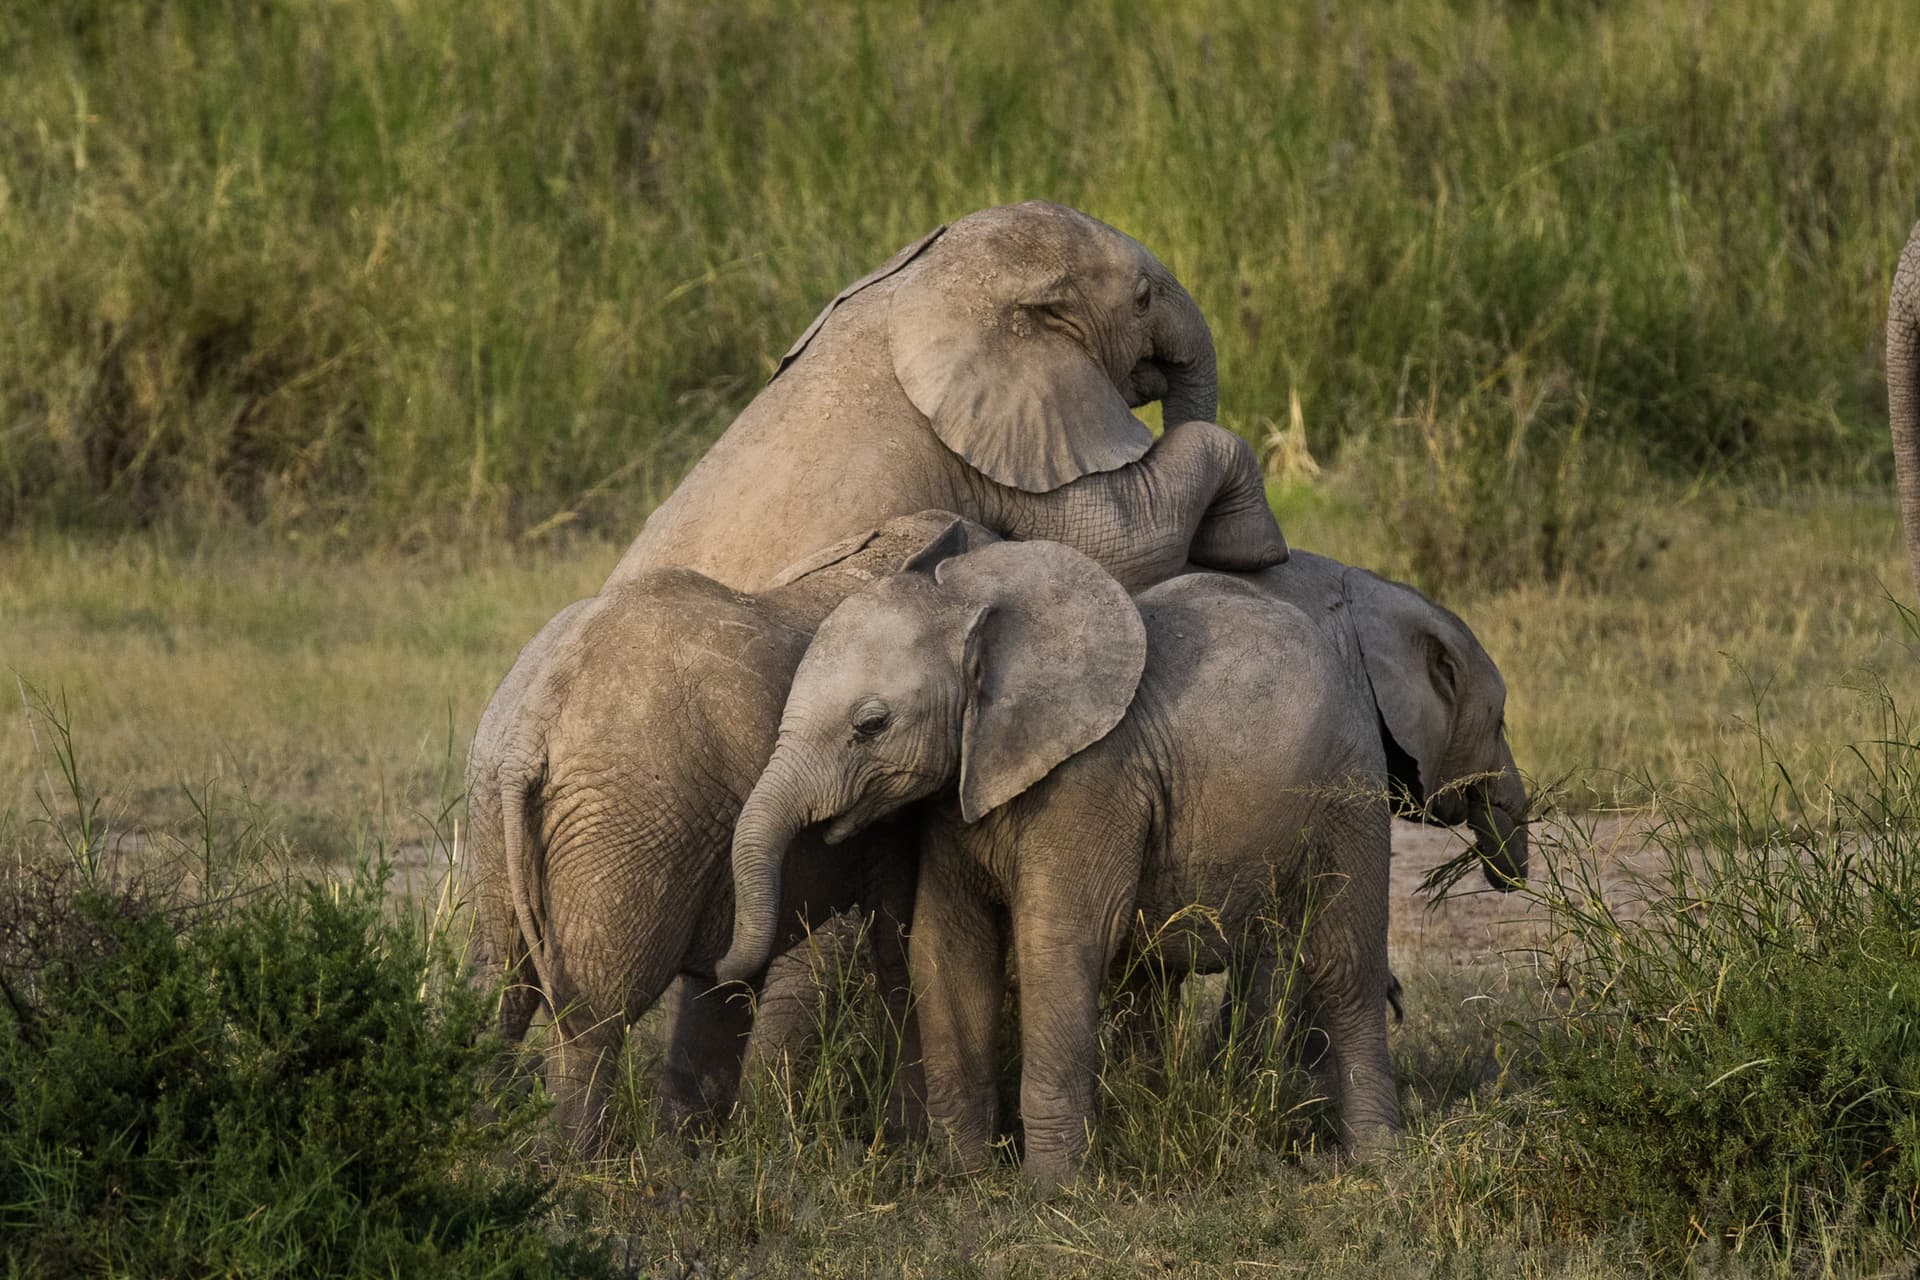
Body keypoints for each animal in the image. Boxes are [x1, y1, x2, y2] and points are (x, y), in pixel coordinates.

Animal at [465, 511, 1005, 1151]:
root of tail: (535, 718)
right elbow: (899, 943)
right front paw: (906, 1143)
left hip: (496, 804)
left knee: (499, 989)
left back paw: (485, 1144)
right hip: (627, 816)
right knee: (593, 1013)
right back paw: (571, 1162)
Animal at [716, 530, 1401, 1186]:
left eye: (872, 724)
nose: (723, 967)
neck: (971, 607)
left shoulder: (1092, 778)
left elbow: (1058, 941)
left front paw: (1051, 1191)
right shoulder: (959, 795)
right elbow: (949, 943)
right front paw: (962, 1177)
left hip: (1350, 788)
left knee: (1345, 964)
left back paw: (1372, 1162)